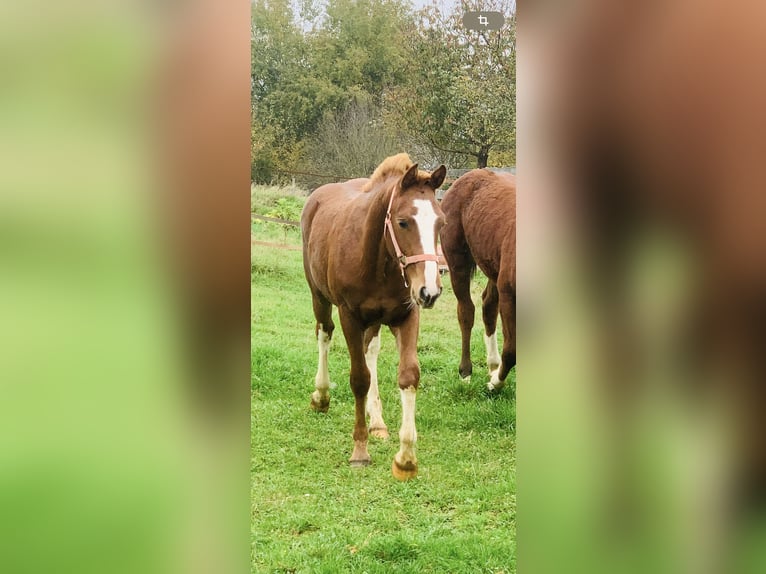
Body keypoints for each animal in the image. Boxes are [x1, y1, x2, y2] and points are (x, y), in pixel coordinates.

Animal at [302, 153, 448, 482]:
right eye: (403, 222)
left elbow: (408, 375)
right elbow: (359, 379)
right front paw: (359, 452)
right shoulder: (350, 317)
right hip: (319, 296)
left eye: (441, 222)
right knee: (324, 333)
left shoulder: (407, 315)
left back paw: (378, 422)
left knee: (371, 351)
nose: (430, 291)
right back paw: (321, 396)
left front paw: (406, 459)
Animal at [440, 170, 520, 392]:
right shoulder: (509, 294)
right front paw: (495, 384)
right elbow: (512, 350)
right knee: (466, 311)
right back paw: (466, 372)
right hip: (457, 262)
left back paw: (493, 365)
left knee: (488, 305)